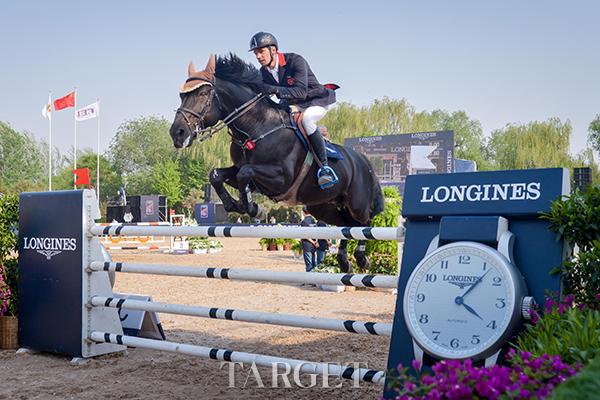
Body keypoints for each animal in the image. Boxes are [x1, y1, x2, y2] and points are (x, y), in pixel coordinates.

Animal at [169, 54, 384, 272]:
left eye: (203, 93)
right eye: (181, 96)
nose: (177, 133)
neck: (256, 126)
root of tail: (364, 161)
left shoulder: (282, 178)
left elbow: (245, 173)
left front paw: (251, 208)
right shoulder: (244, 172)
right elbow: (217, 175)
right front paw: (237, 205)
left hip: (356, 203)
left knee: (363, 222)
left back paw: (361, 258)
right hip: (323, 206)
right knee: (345, 225)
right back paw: (344, 261)